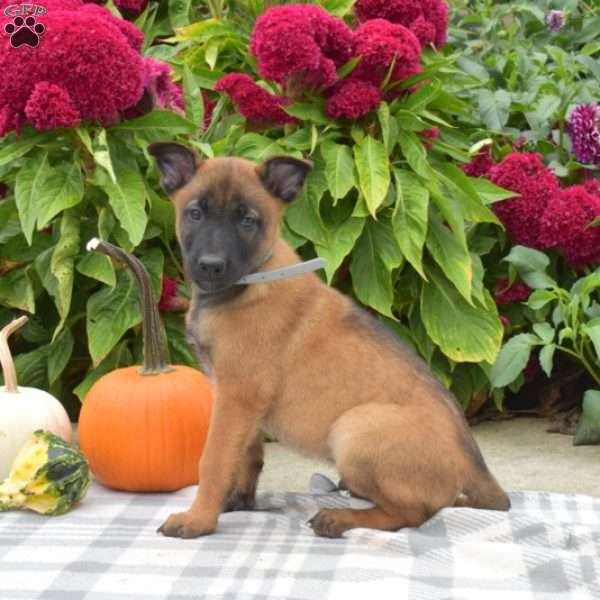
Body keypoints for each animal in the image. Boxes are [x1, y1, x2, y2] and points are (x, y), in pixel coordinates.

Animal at [148, 142, 508, 540]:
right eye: (195, 213)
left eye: (248, 221)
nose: (211, 265)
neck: (249, 280)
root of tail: (475, 463)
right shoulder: (239, 400)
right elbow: (245, 455)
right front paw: (235, 503)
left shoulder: (238, 395)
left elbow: (213, 459)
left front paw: (198, 519)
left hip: (354, 431)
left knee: (413, 514)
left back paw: (340, 518)